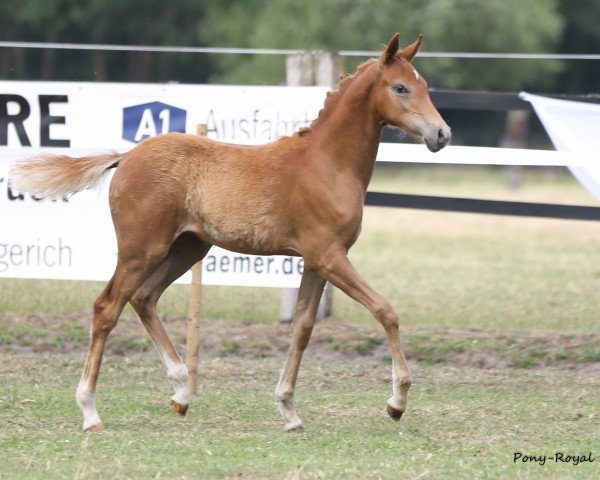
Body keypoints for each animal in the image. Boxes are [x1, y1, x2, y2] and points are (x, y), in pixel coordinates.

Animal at [10, 33, 450, 432]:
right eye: (400, 87)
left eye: (425, 85)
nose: (442, 135)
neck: (327, 164)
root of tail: (127, 155)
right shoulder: (329, 256)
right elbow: (385, 310)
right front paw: (396, 402)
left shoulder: (315, 261)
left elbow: (303, 329)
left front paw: (289, 412)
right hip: (141, 249)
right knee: (107, 307)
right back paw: (90, 412)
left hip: (187, 249)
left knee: (143, 298)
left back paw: (181, 393)